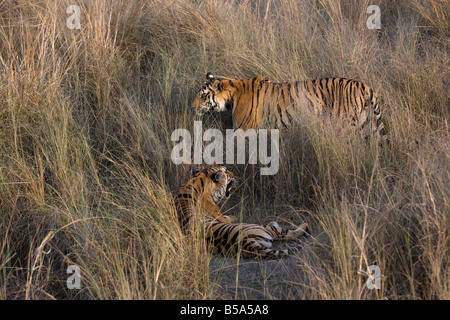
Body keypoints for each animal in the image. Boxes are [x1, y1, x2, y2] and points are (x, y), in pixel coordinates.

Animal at [175, 166, 310, 258]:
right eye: (226, 171)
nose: (234, 173)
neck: (198, 181)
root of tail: (246, 243)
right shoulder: (221, 216)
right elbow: (229, 217)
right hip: (261, 227)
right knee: (286, 233)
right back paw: (301, 225)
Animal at [191, 73, 386, 142]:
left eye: (202, 95)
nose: (192, 107)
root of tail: (364, 86)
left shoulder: (245, 130)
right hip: (366, 125)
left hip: (346, 127)